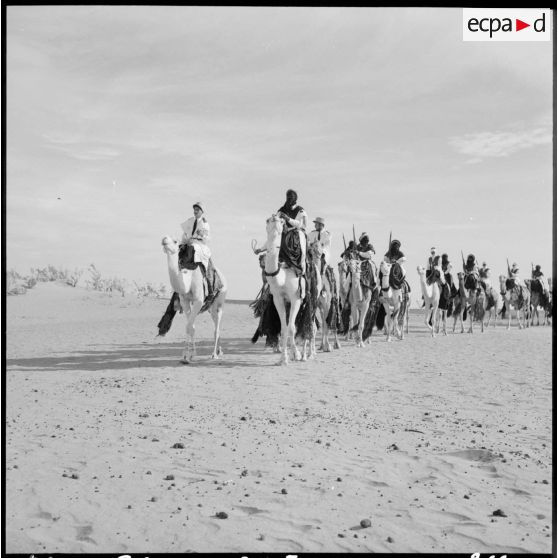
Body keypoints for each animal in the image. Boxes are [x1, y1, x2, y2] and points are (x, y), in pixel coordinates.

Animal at [162, 237, 228, 366]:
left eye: (175, 241)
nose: (164, 240)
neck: (188, 279)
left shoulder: (198, 301)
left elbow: (188, 326)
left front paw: (185, 357)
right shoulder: (185, 301)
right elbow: (191, 327)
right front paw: (190, 355)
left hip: (219, 302)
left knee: (216, 329)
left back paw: (214, 355)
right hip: (210, 307)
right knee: (215, 323)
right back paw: (220, 351)